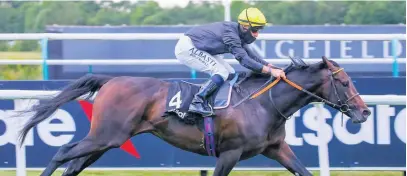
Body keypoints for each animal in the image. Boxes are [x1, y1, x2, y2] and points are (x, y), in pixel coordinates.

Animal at [17, 56, 372, 175]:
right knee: (62, 152)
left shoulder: (276, 149)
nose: (365, 112)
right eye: (343, 82)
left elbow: (304, 171)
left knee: (73, 165)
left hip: (108, 140)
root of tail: (111, 80)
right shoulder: (230, 152)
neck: (263, 104)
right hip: (106, 136)